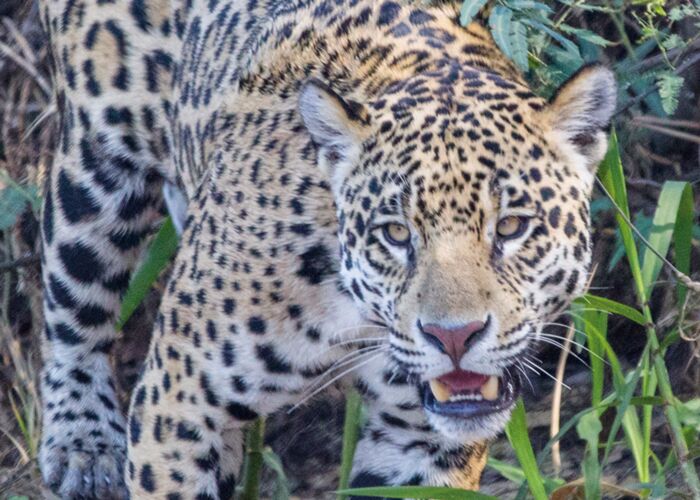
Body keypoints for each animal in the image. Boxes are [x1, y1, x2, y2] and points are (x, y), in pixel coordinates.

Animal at [38, 0, 616, 497]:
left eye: (513, 226)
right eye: (396, 233)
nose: (454, 337)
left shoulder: (418, 441)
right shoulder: (179, 405)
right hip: (96, 163)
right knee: (71, 305)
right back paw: (83, 446)